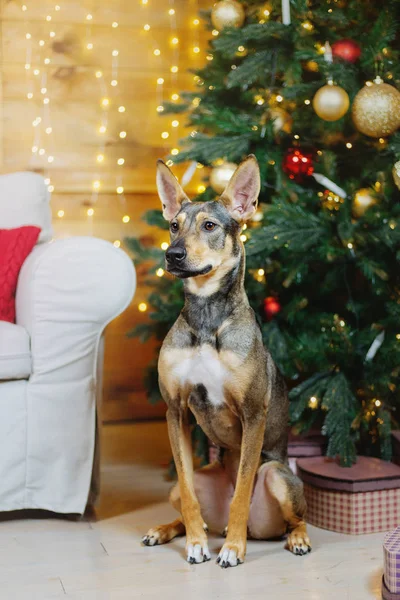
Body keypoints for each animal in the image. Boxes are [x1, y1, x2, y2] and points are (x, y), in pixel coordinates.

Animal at [142, 155, 310, 568]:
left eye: (210, 226)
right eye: (173, 225)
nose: (173, 255)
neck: (206, 319)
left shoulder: (253, 414)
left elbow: (243, 491)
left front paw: (233, 548)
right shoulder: (175, 410)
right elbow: (188, 492)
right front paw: (196, 544)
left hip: (279, 476)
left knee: (297, 517)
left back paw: (291, 539)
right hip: (185, 485)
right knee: (188, 501)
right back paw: (170, 530)